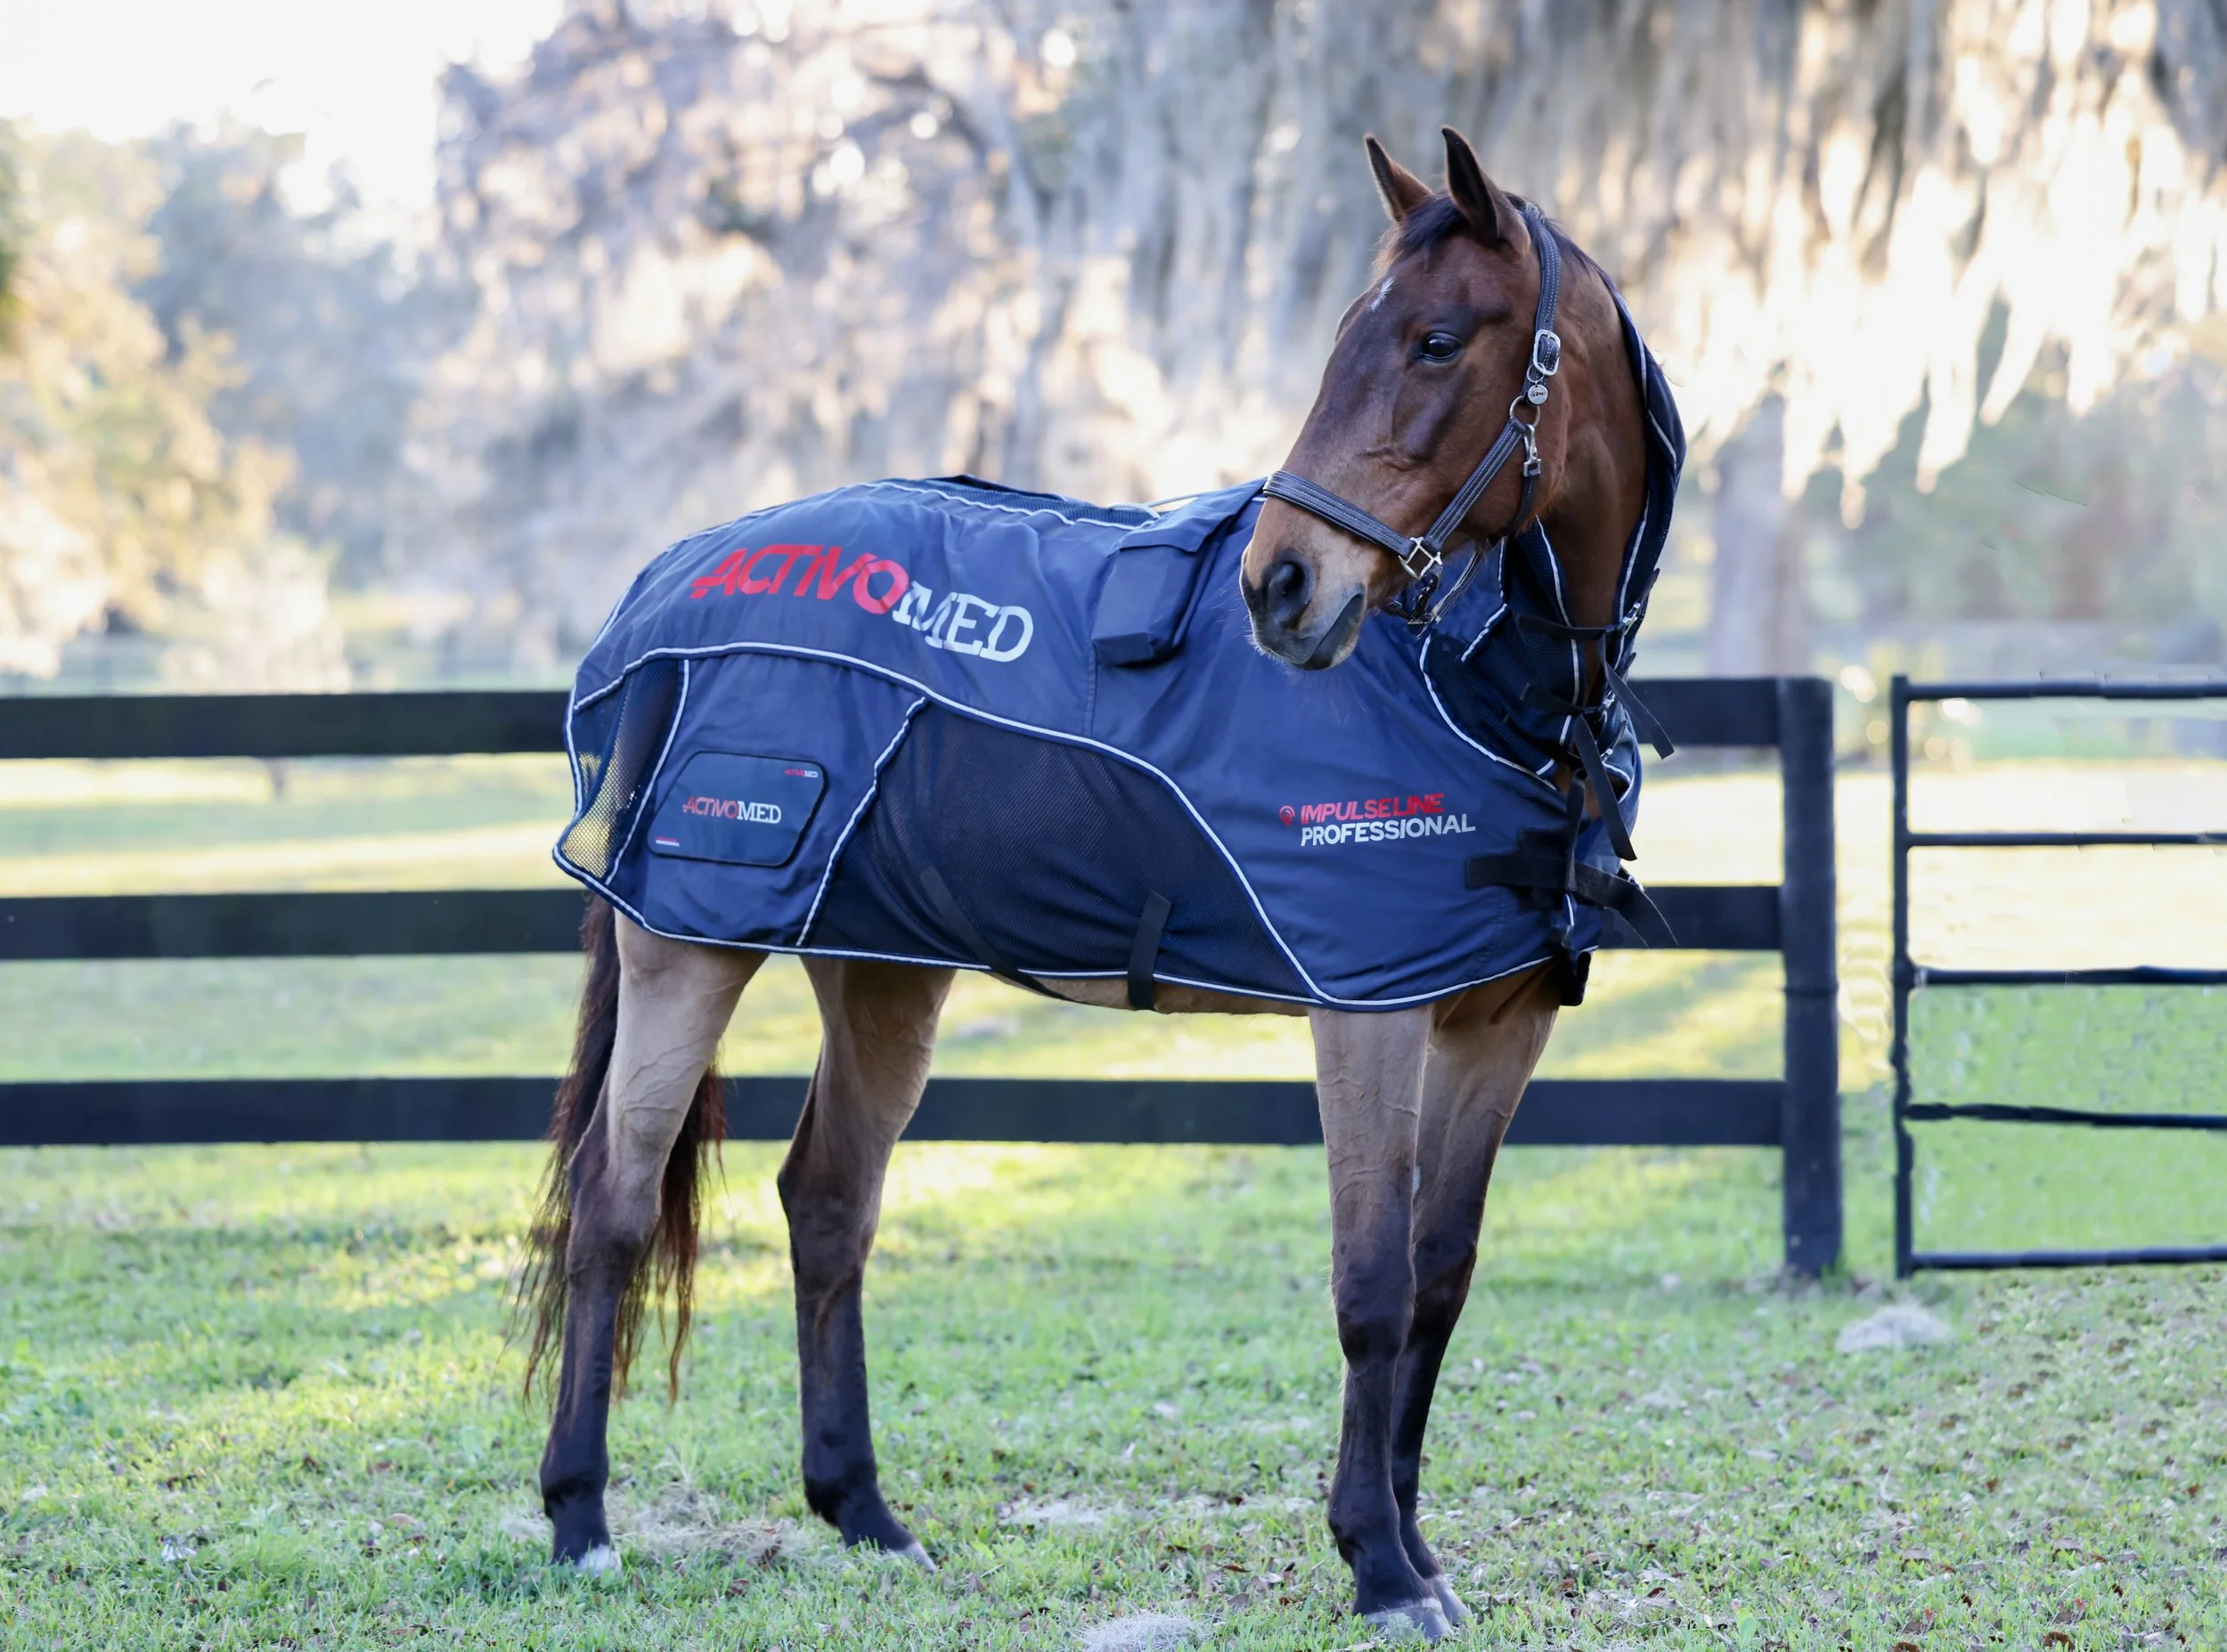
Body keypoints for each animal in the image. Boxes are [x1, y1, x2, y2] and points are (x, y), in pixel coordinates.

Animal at [521, 126, 1677, 1641]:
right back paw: (581, 1519)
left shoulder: (1497, 1022)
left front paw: (1420, 1552)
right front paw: (1375, 1560)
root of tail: (665, 584)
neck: (1473, 685)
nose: (1283, 586)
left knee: (827, 1204)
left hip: (881, 975)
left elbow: (1438, 1280)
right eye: (1353, 336)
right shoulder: (1366, 1010)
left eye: (1436, 340)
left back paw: (865, 1513)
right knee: (612, 1200)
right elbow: (1370, 1282)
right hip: (690, 948)